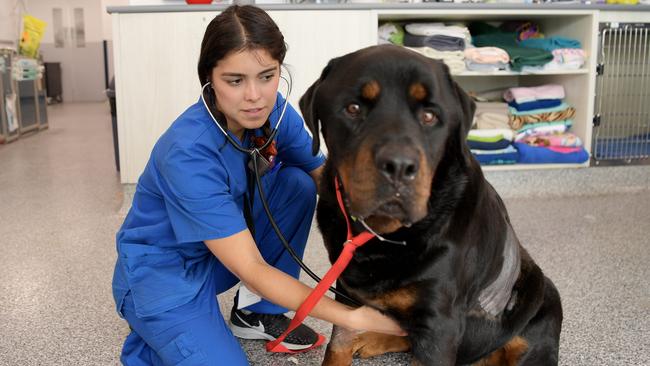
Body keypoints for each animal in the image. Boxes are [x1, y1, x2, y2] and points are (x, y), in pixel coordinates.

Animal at [298, 44, 560, 364]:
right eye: (353, 108)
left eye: (429, 115)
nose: (398, 165)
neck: (388, 236)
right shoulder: (345, 292)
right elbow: (338, 345)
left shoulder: (439, 321)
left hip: (543, 302)